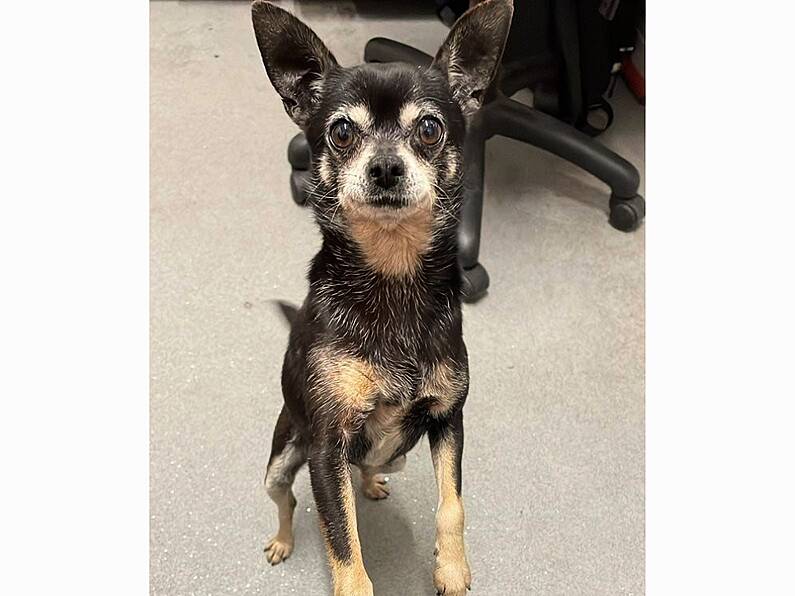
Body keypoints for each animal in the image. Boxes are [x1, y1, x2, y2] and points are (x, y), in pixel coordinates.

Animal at [252, 2, 512, 592]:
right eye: (342, 131)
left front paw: (452, 569)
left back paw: (368, 483)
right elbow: (343, 544)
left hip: (399, 453)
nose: (387, 167)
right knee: (289, 499)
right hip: (281, 459)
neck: (392, 278)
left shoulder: (448, 420)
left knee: (369, 465)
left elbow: (452, 505)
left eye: (431, 129)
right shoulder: (326, 445)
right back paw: (283, 539)